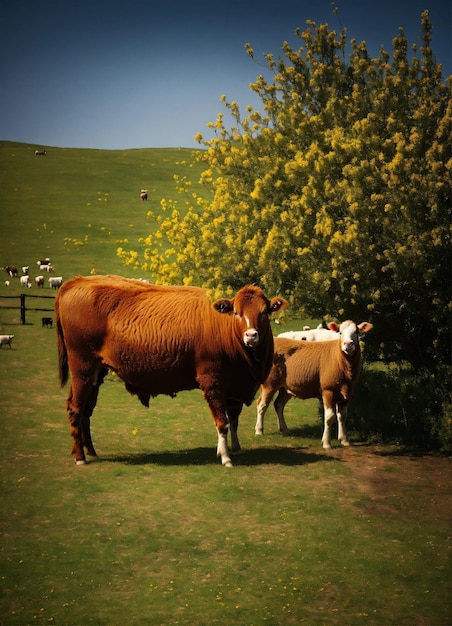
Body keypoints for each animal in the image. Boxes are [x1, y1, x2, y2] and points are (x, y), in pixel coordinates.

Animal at [54, 276, 284, 466]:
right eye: (236, 312)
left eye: (264, 312)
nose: (251, 335)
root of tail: (74, 283)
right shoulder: (213, 383)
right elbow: (222, 422)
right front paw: (225, 457)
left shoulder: (235, 388)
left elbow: (234, 420)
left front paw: (235, 448)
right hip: (82, 369)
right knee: (76, 408)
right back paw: (80, 457)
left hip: (96, 373)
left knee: (86, 410)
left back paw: (91, 451)